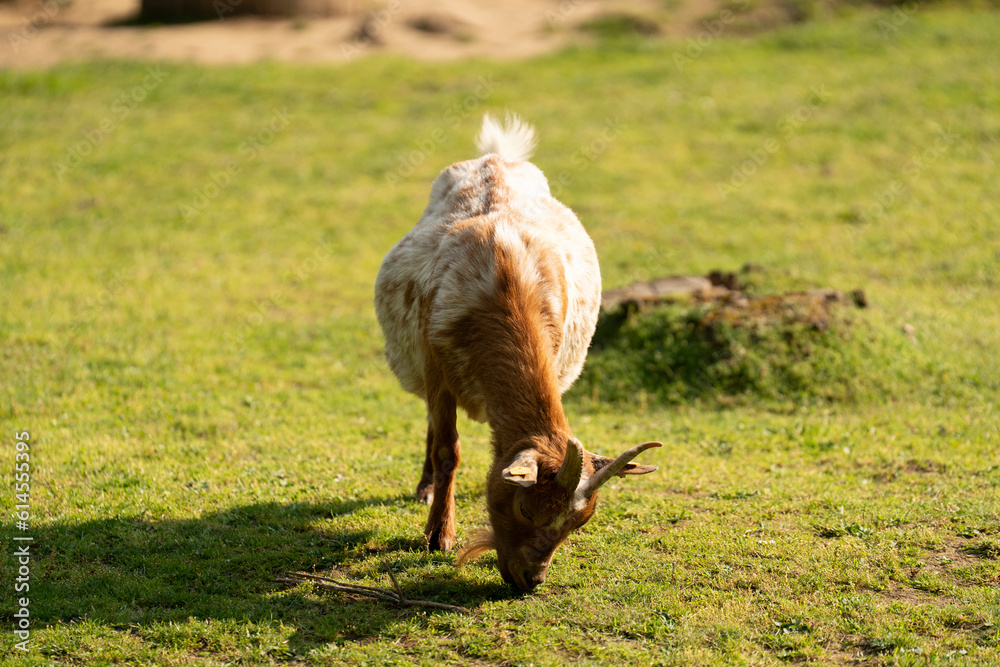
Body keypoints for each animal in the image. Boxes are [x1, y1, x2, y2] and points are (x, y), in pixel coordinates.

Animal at [374, 113, 660, 591]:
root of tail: (496, 156)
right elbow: (447, 450)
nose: (530, 579)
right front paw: (438, 534)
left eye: (579, 522)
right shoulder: (436, 365)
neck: (506, 279)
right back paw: (426, 488)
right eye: (526, 507)